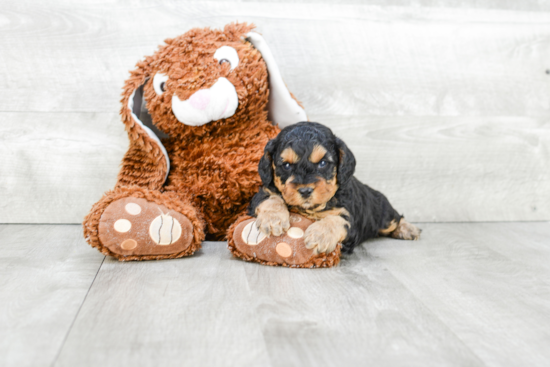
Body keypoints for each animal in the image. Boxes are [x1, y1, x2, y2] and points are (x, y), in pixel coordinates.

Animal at [250, 122, 422, 254]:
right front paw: (274, 219)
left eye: (323, 163)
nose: (305, 191)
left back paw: (408, 229)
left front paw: (319, 236)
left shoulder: (350, 220)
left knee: (396, 218)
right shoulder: (261, 194)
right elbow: (271, 198)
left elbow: (336, 220)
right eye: (286, 165)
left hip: (382, 213)